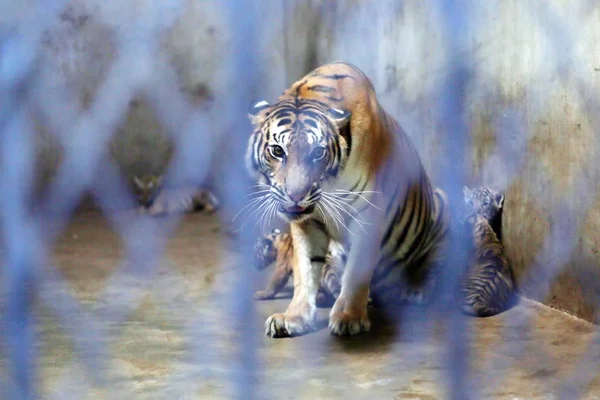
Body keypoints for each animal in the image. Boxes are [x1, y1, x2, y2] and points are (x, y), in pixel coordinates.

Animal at [246, 61, 448, 338]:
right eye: (277, 151)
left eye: (317, 153)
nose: (296, 195)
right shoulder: (307, 222)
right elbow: (305, 270)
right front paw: (293, 317)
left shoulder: (367, 215)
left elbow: (357, 271)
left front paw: (349, 317)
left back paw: (415, 290)